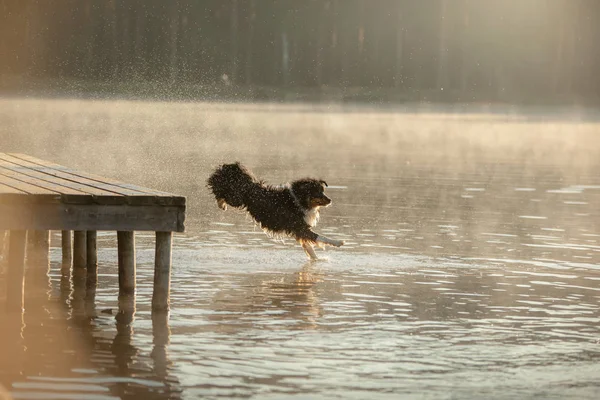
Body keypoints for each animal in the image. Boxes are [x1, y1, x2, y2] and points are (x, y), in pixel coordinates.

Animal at [207, 162, 344, 260]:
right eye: (318, 193)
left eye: (323, 191)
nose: (330, 200)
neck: (298, 200)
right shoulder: (299, 227)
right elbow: (320, 237)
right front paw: (338, 242)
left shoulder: (298, 230)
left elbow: (309, 248)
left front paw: (316, 259)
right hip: (235, 198)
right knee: (217, 190)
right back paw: (221, 204)